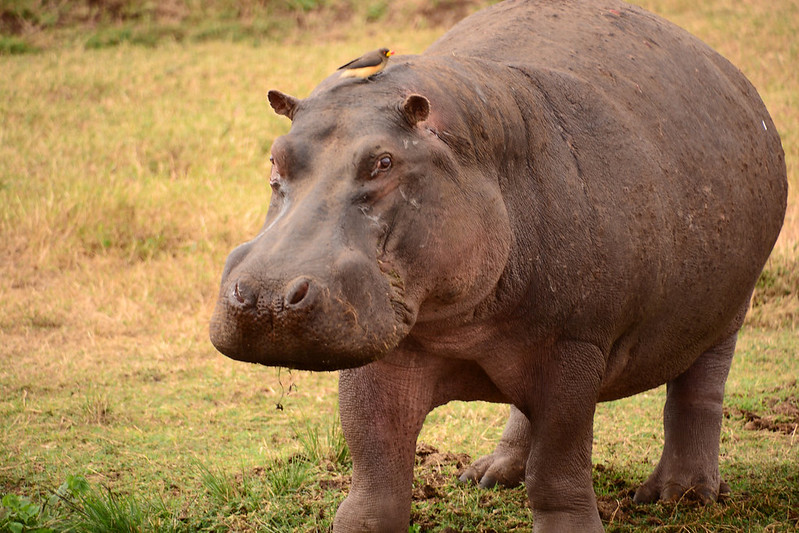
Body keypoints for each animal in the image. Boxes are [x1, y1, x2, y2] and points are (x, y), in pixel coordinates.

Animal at [210, 0, 787, 530]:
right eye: (275, 157)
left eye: (384, 161)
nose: (266, 297)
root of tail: (724, 66)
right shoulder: (382, 345)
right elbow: (375, 466)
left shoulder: (575, 344)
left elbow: (556, 466)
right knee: (523, 413)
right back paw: (488, 476)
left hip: (727, 309)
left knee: (699, 391)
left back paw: (680, 495)